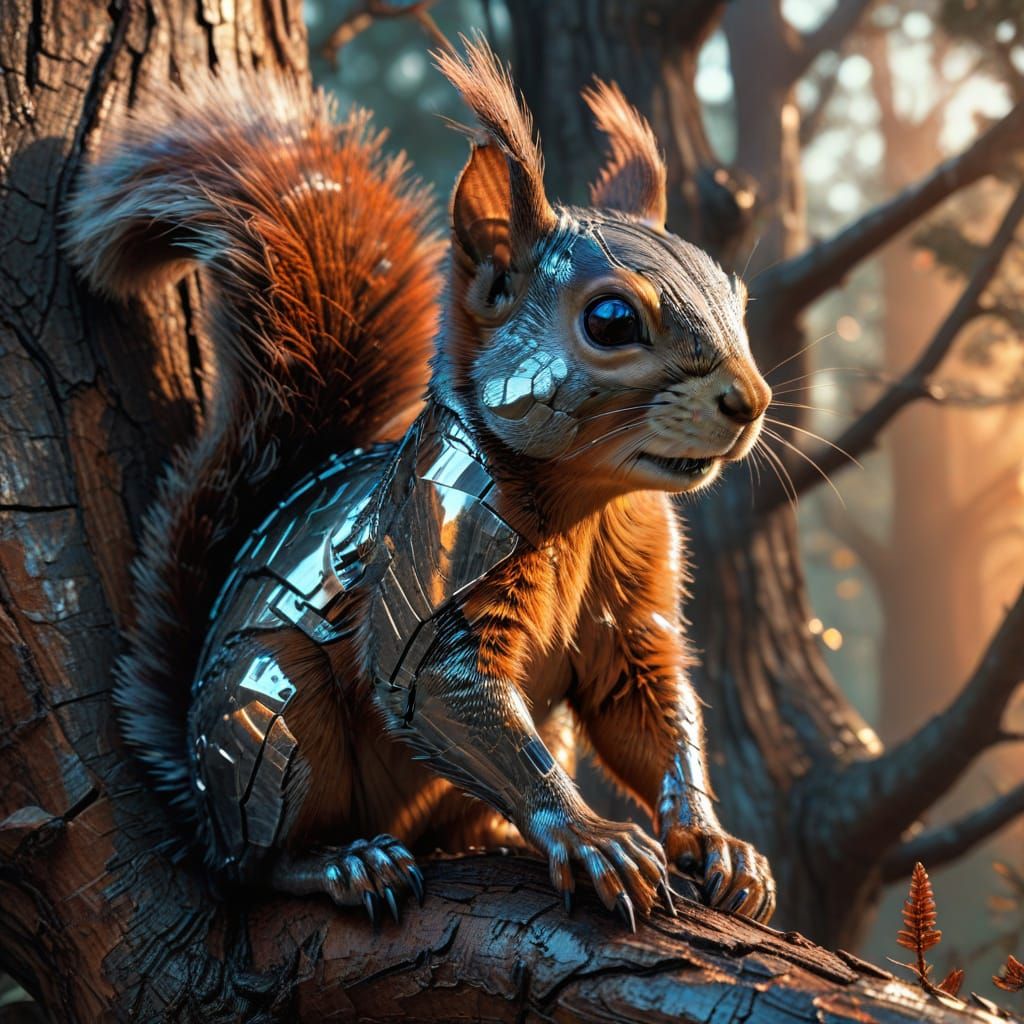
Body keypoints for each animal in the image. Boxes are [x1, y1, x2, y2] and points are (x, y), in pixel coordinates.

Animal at [67, 37, 775, 929]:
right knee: (256, 863)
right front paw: (591, 837)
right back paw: (347, 863)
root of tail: (198, 800)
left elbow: (648, 708)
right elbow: (431, 683)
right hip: (270, 711)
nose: (751, 402)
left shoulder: (633, 607)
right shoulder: (437, 525)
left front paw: (714, 839)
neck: (589, 502)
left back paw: (493, 840)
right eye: (611, 320)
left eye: (737, 296)